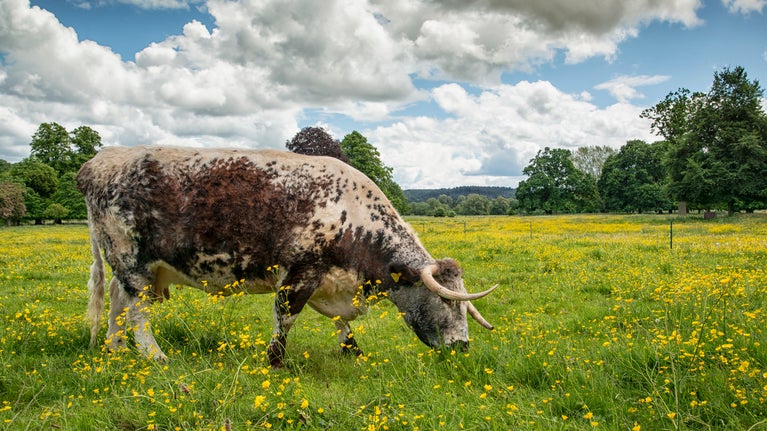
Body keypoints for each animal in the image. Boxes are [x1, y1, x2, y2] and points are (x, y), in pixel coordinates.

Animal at [76, 146, 496, 368]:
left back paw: (115, 349)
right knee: (137, 311)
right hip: (132, 263)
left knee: (116, 301)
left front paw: (353, 352)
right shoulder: (299, 272)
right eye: (446, 301)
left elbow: (342, 323)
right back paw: (154, 356)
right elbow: (286, 318)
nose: (463, 346)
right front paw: (275, 361)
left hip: (131, 268)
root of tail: (101, 160)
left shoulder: (330, 282)